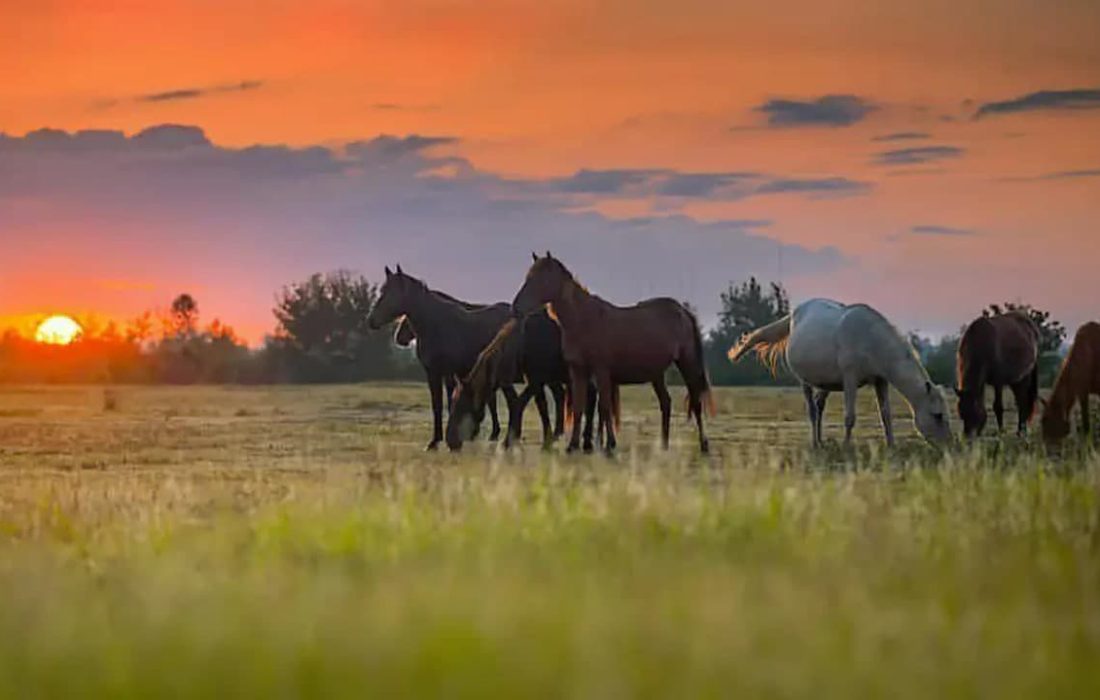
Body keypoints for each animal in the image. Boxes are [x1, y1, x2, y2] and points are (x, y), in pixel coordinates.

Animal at [365, 265, 510, 451]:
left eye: (391, 293)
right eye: (383, 290)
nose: (371, 320)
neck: (436, 325)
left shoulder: (446, 372)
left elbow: (448, 402)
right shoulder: (434, 373)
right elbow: (438, 405)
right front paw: (435, 441)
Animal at [442, 308, 598, 451]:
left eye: (462, 405)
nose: (450, 441)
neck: (522, 343)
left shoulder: (536, 380)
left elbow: (520, 403)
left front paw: (509, 440)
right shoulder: (531, 380)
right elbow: (537, 405)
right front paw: (545, 438)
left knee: (589, 402)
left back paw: (586, 442)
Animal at [508, 252, 712, 453]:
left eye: (542, 279)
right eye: (528, 277)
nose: (516, 307)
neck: (583, 319)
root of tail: (684, 312)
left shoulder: (602, 371)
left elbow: (605, 408)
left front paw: (610, 445)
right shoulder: (578, 371)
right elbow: (579, 408)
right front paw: (573, 445)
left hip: (687, 363)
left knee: (696, 401)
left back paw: (704, 444)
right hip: (657, 373)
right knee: (666, 403)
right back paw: (663, 445)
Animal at [726, 297, 950, 444]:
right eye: (937, 415)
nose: (948, 446)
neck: (871, 339)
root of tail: (794, 315)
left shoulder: (880, 381)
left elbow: (886, 415)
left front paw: (891, 446)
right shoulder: (850, 379)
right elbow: (850, 418)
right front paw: (846, 446)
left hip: (825, 382)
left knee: (819, 406)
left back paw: (821, 440)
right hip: (805, 381)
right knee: (812, 410)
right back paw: (815, 444)